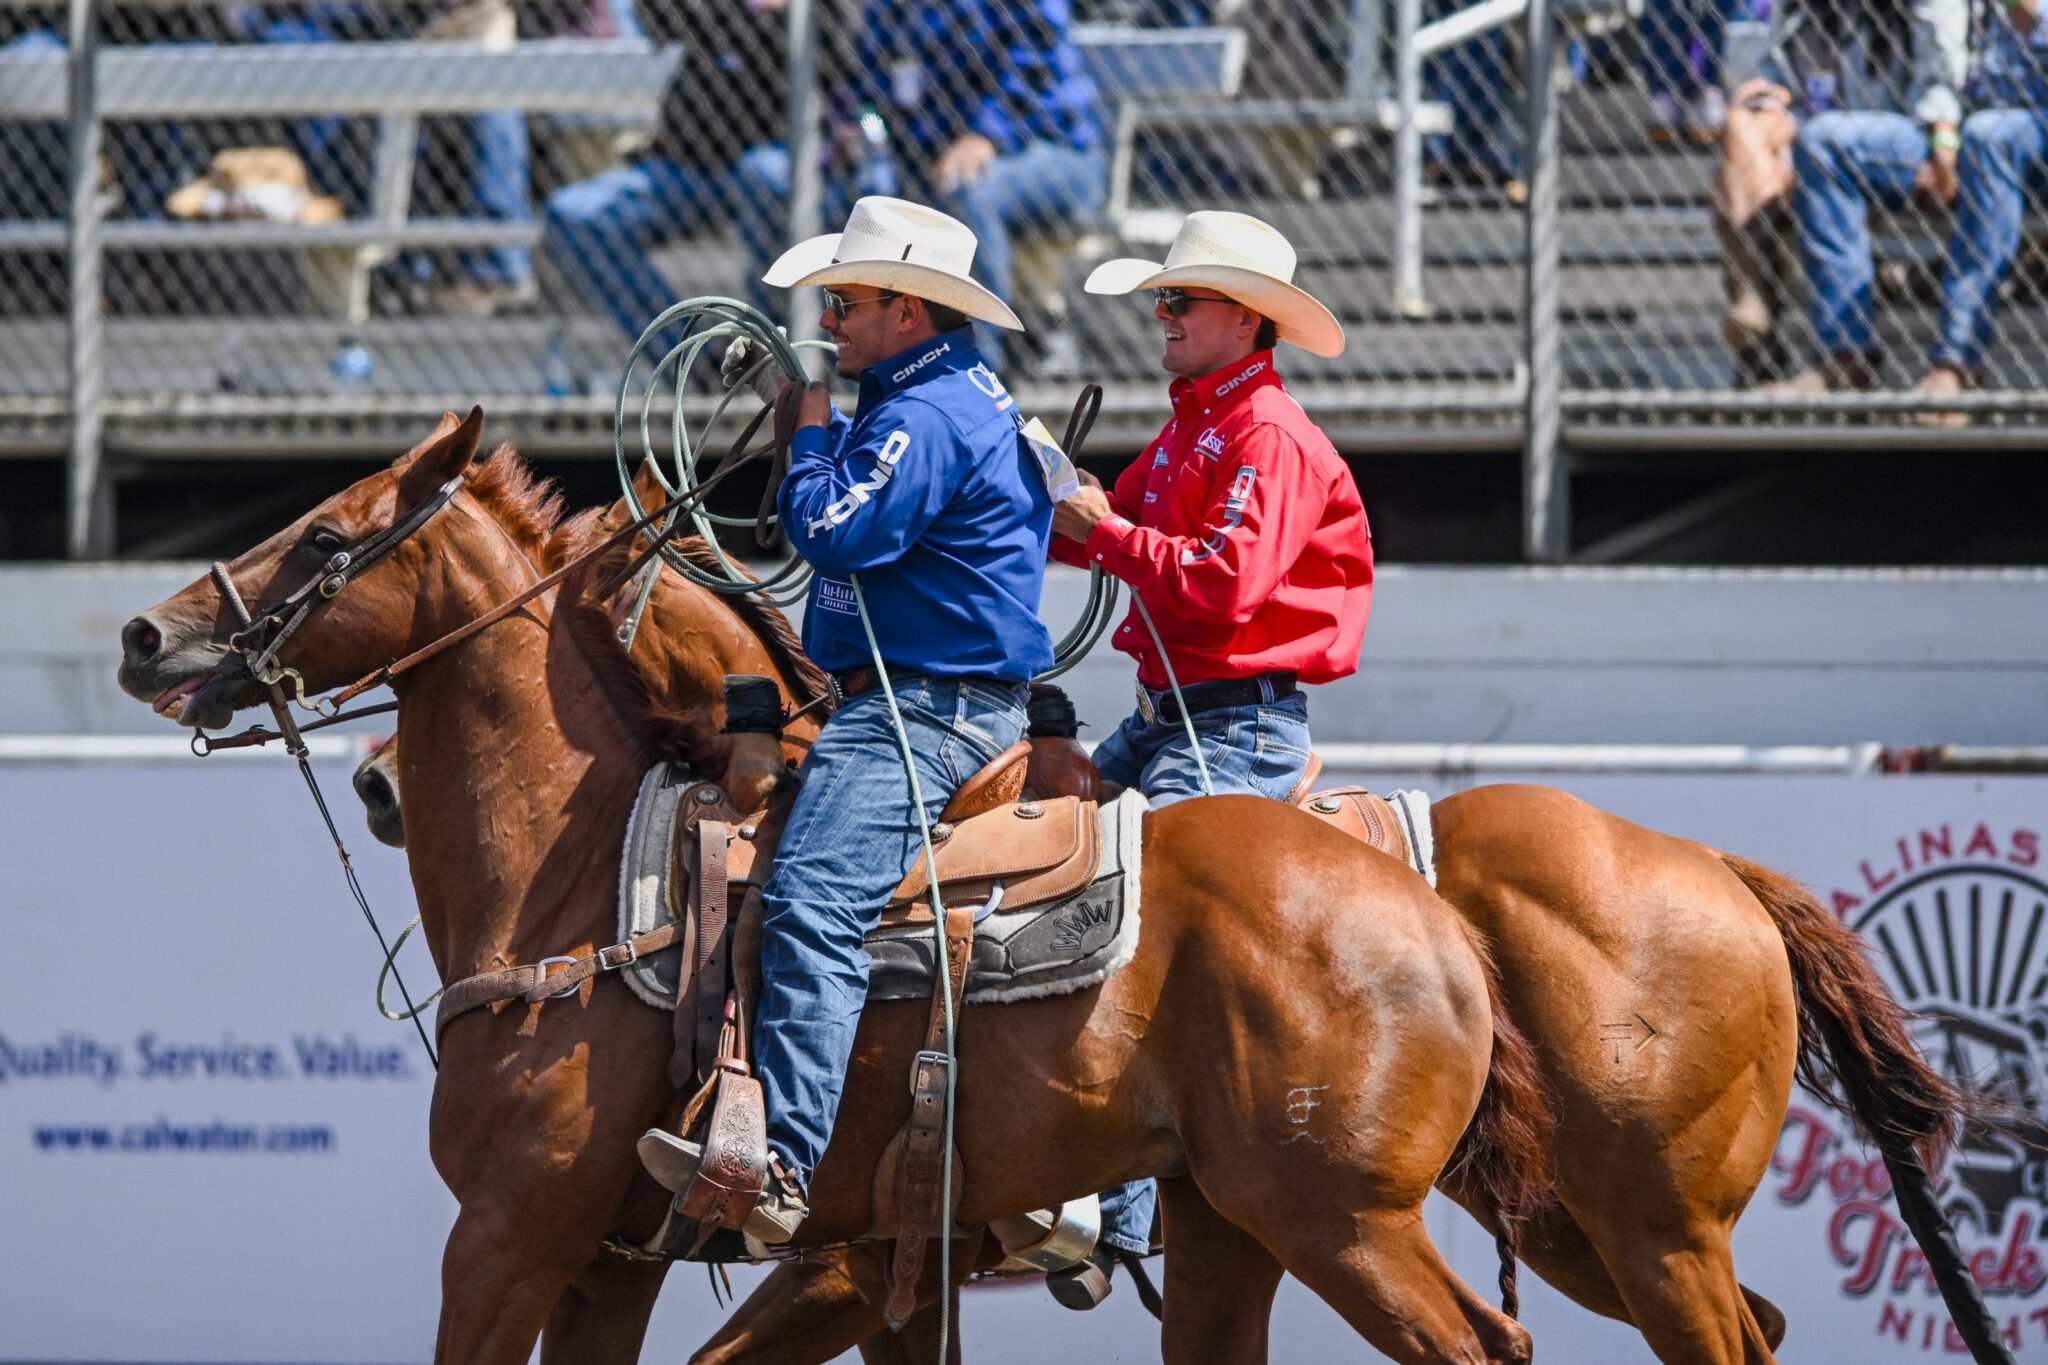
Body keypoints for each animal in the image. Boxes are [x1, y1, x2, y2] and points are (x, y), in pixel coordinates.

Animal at [119, 413, 1540, 1365]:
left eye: (326, 535)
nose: (145, 633)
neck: (581, 887)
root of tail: (1430, 918)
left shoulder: (511, 1237)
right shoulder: (619, 1266)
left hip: (1339, 1215)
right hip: (1231, 1225)